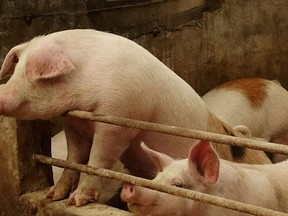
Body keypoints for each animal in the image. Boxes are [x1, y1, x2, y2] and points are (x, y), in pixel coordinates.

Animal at [0, 28, 270, 206]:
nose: (1, 92)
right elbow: (73, 159)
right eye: (17, 68)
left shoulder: (120, 117)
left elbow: (97, 160)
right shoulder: (74, 123)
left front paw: (75, 201)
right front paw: (53, 195)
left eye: (32, 73)